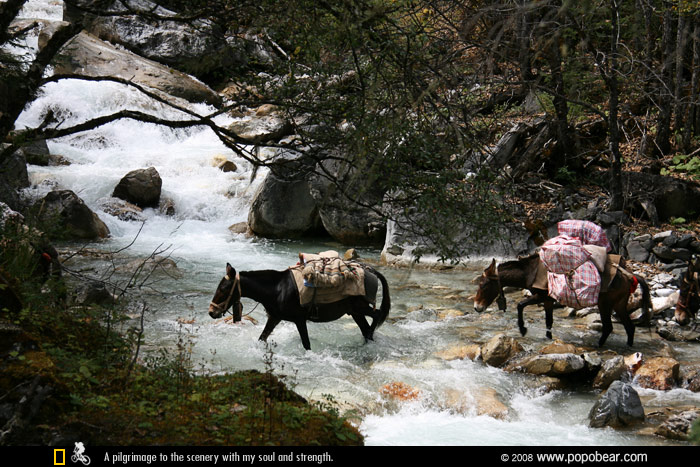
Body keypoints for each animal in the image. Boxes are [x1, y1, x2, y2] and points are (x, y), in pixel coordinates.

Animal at [211, 264, 392, 352]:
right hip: (354, 312)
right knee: (365, 327)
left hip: (361, 307)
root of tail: (372, 272)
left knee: (377, 315)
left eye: (224, 288)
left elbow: (306, 344)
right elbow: (262, 337)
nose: (211, 312)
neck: (277, 289)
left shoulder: (299, 319)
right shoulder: (274, 317)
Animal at [474, 256, 652, 348]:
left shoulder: (541, 297)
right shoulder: (548, 301)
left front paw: (523, 329)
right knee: (629, 327)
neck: (530, 272)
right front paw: (548, 339)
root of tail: (629, 275)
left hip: (605, 304)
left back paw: (598, 346)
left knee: (609, 327)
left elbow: (520, 305)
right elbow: (549, 321)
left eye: (484, 285)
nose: (476, 307)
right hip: (619, 304)